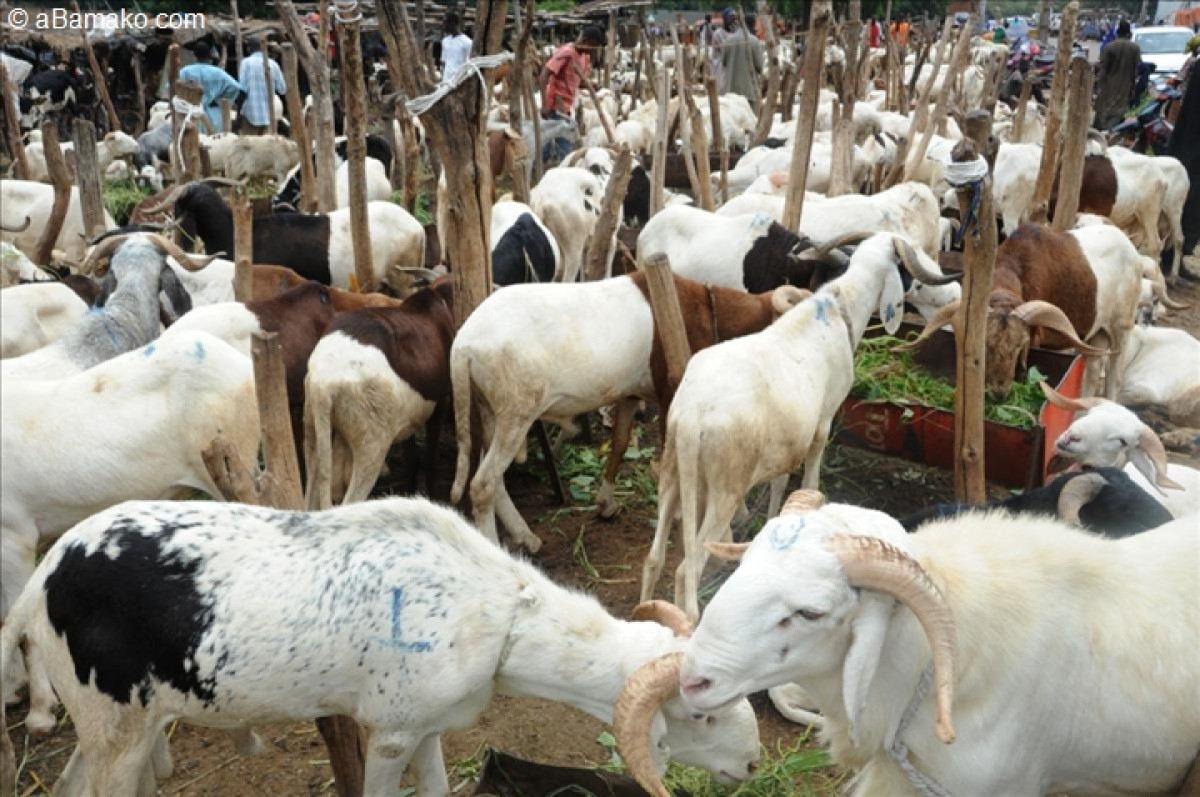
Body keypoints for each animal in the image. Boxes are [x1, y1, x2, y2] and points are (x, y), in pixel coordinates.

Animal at [0, 498, 760, 796]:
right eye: (701, 713)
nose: (752, 765)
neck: (503, 616)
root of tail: (37, 587)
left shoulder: (426, 726)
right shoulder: (390, 733)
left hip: (112, 721)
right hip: (115, 724)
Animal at [304, 280, 456, 508]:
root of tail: (324, 383)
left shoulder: (408, 421)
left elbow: (412, 461)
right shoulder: (441, 404)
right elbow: (430, 463)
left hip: (314, 433)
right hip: (372, 447)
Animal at [641, 233, 960, 621]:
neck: (839, 307)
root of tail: (693, 416)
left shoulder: (788, 440)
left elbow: (780, 483)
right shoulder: (822, 422)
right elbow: (811, 478)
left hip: (673, 470)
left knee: (653, 558)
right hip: (724, 488)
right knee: (687, 569)